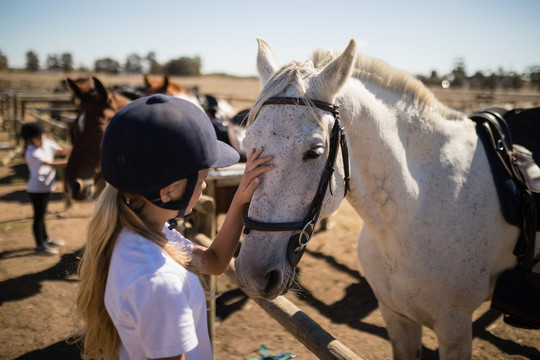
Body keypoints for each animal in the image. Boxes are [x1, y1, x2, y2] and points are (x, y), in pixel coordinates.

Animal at [233, 38, 540, 358]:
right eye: (248, 144)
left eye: (314, 152)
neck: (410, 213)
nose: (251, 274)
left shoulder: (454, 327)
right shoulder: (395, 315)